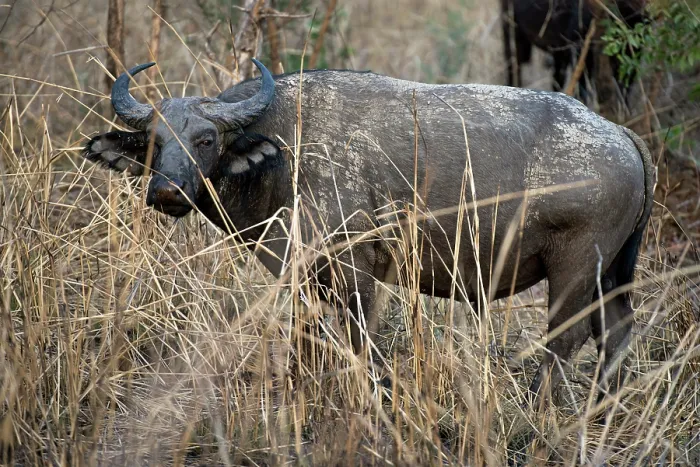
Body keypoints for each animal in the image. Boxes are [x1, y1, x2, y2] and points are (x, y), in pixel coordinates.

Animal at [83, 59, 653, 408]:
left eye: (205, 139)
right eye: (154, 143)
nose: (166, 192)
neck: (285, 152)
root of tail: (621, 135)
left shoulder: (356, 272)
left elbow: (361, 342)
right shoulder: (306, 278)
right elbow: (309, 340)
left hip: (576, 269)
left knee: (566, 339)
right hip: (611, 276)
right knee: (617, 332)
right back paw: (602, 406)